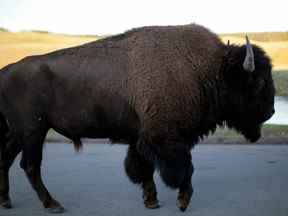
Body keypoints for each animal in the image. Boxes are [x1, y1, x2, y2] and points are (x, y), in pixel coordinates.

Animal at [0, 24, 274, 213]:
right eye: (259, 82)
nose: (271, 112)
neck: (207, 71)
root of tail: (5, 72)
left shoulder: (141, 138)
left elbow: (143, 168)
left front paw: (151, 201)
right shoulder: (166, 138)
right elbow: (185, 167)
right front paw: (183, 201)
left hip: (19, 133)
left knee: (7, 158)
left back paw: (6, 200)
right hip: (33, 132)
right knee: (30, 166)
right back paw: (53, 204)